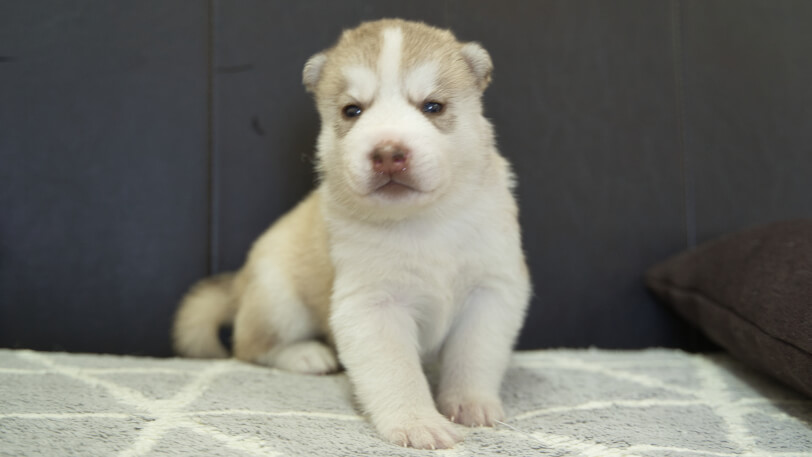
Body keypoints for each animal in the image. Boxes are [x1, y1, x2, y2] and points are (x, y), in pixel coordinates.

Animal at [174, 18, 528, 448]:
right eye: (352, 110)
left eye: (433, 106)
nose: (389, 153)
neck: (425, 221)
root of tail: (238, 284)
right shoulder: (372, 304)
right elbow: (397, 371)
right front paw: (417, 422)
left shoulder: (491, 291)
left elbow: (474, 356)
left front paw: (471, 404)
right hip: (279, 301)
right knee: (250, 346)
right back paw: (306, 355)